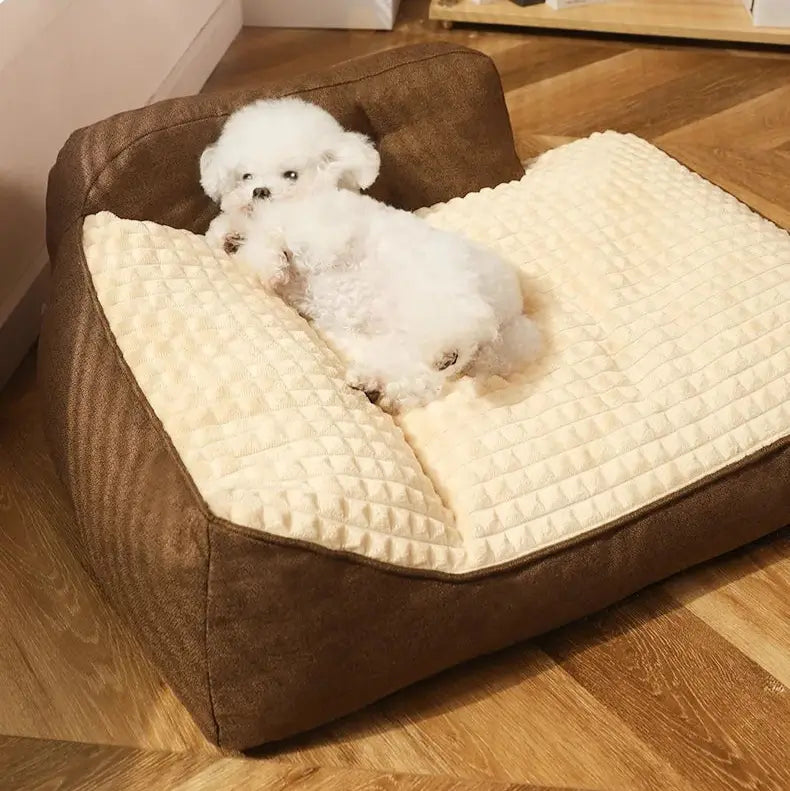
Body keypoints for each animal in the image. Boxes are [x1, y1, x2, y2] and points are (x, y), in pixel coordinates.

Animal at [201, 96, 540, 412]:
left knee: (462, 327)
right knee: (418, 373)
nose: (259, 191)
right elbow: (232, 230)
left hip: (442, 292)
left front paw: (268, 257)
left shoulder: (329, 232)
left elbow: (282, 236)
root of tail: (514, 312)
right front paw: (233, 238)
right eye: (246, 176)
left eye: (291, 174)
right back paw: (378, 384)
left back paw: (445, 351)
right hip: (401, 337)